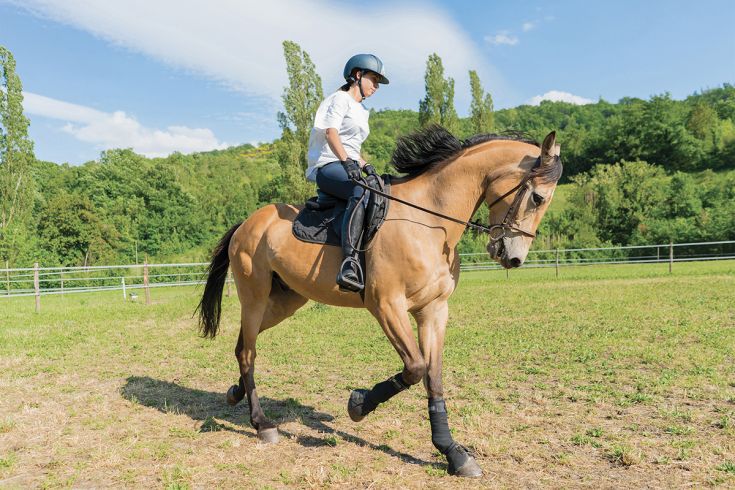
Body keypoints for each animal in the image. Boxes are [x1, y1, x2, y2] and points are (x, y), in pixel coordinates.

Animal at [197, 125, 563, 478]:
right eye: (537, 197)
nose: (514, 258)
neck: (431, 223)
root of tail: (247, 223)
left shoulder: (434, 311)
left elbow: (433, 377)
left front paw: (453, 453)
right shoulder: (386, 305)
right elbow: (415, 368)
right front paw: (358, 405)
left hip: (285, 301)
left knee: (244, 344)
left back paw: (235, 393)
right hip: (255, 295)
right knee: (248, 351)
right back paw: (262, 424)